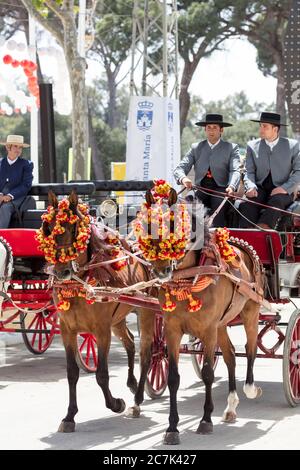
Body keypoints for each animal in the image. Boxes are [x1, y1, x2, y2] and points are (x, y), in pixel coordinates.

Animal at [39, 189, 155, 432]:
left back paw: (137, 400)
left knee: (146, 353)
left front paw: (116, 404)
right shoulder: (67, 329)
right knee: (130, 341)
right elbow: (72, 373)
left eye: (75, 229)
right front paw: (69, 416)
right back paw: (131, 383)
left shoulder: (101, 330)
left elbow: (101, 374)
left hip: (146, 312)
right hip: (118, 319)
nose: (62, 271)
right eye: (48, 228)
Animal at [138, 186, 264, 444]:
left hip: (250, 312)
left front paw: (205, 420)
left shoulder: (207, 330)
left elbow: (207, 373)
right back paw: (231, 406)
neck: (189, 276)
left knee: (250, 349)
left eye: (175, 225)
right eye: (147, 225)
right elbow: (173, 378)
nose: (161, 270)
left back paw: (250, 388)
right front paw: (172, 428)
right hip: (222, 324)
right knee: (231, 356)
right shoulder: (173, 329)